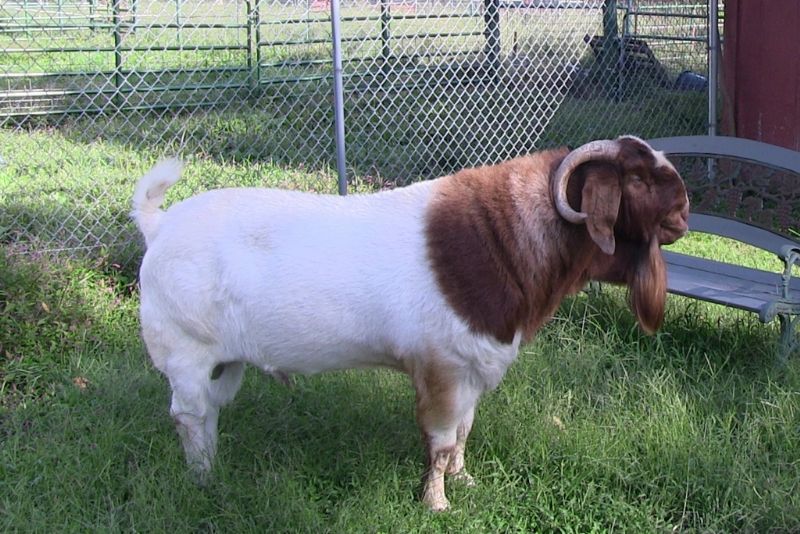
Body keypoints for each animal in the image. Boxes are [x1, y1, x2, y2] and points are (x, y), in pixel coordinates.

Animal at [130, 136, 688, 512]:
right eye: (637, 179)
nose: (684, 211)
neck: (503, 238)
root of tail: (160, 225)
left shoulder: (472, 369)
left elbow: (463, 432)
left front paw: (464, 483)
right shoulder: (442, 369)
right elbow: (440, 441)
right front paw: (436, 504)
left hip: (226, 363)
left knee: (209, 414)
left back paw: (215, 469)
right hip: (186, 353)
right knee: (188, 416)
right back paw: (203, 479)